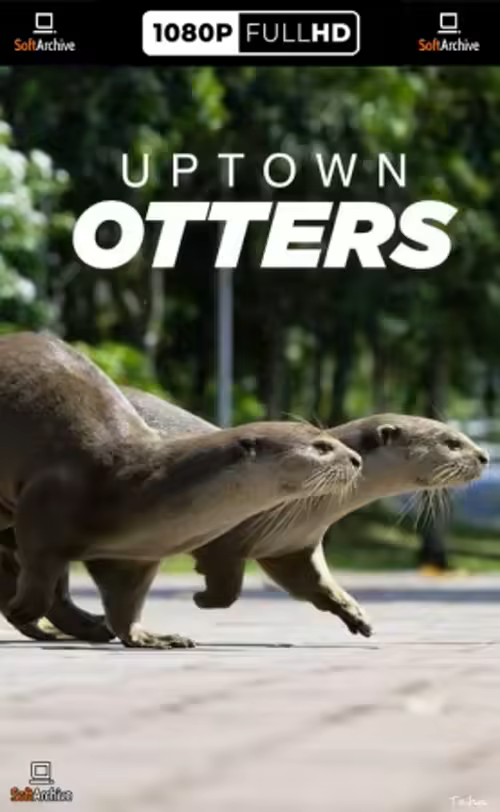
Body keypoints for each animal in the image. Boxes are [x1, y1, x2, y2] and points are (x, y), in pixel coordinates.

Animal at [0, 332, 362, 649]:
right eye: (322, 447)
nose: (356, 459)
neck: (132, 487)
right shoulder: (45, 501)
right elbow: (39, 571)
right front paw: (23, 607)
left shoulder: (132, 557)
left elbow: (126, 601)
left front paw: (149, 638)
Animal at [1, 387, 488, 643]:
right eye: (450, 442)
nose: (484, 455)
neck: (303, 510)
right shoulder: (226, 537)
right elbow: (228, 586)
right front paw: (202, 599)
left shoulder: (292, 545)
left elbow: (316, 585)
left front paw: (356, 615)